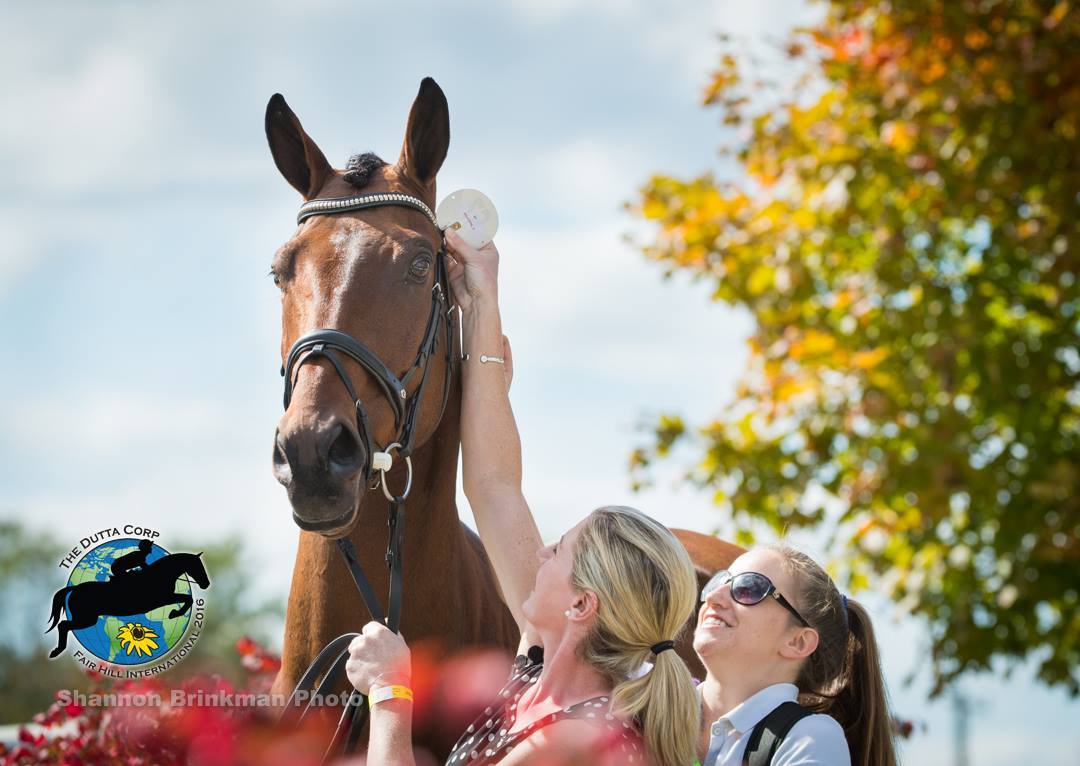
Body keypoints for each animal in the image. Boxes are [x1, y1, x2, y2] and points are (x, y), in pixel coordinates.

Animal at [46, 552, 209, 659]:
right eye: (197, 566)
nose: (206, 584)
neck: (159, 575)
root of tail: (75, 589)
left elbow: (187, 599)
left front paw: (174, 612)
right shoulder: (163, 599)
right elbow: (188, 599)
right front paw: (175, 613)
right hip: (87, 619)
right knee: (63, 625)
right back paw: (57, 651)